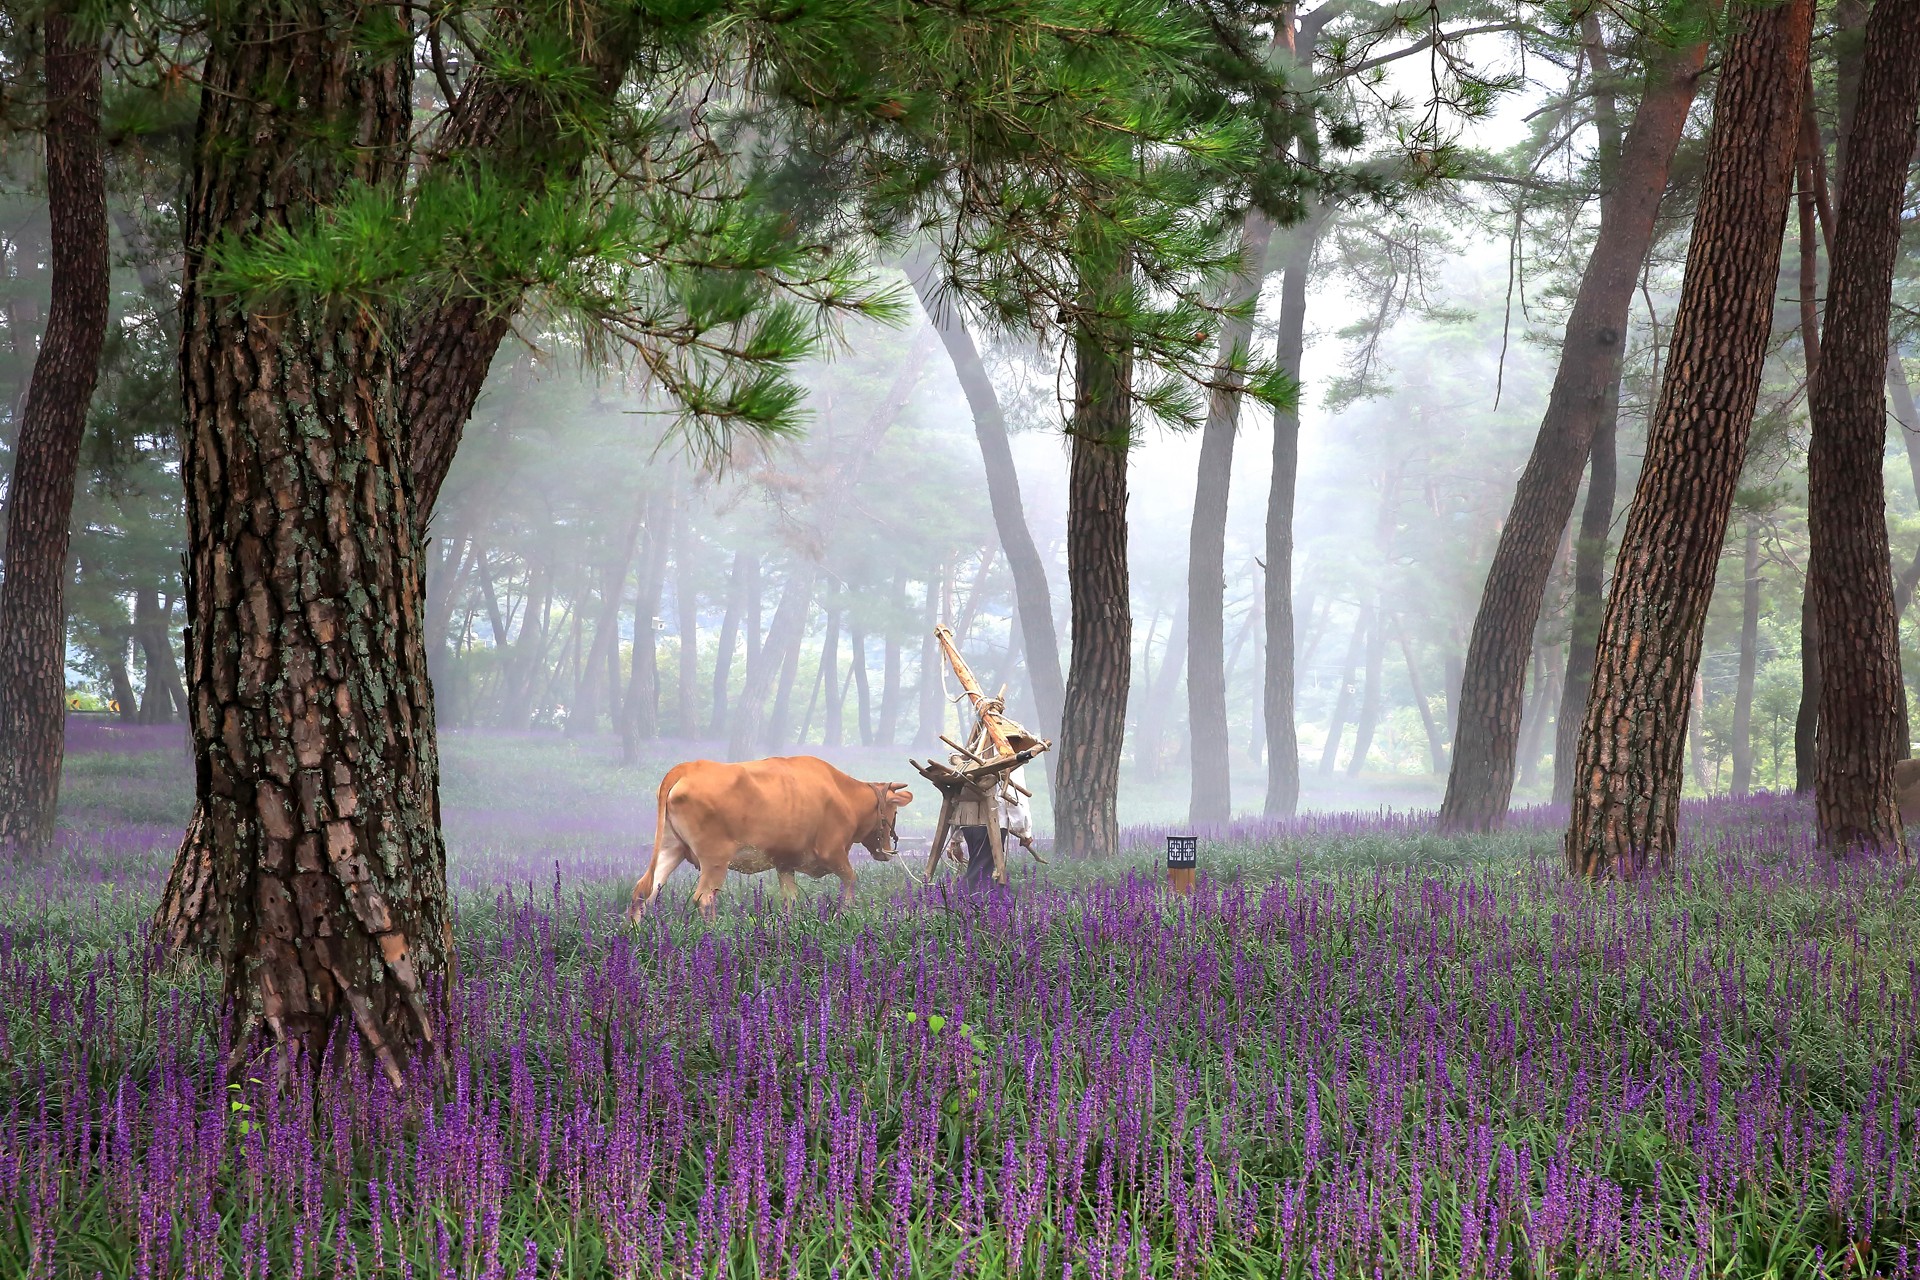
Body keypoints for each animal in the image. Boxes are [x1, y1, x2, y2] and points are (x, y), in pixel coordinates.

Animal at [626, 756, 914, 921]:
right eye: (894, 812)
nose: (887, 850)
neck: (843, 794)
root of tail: (687, 768)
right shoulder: (833, 852)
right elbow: (851, 880)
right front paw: (844, 916)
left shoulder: (785, 863)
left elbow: (791, 899)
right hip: (714, 859)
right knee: (704, 899)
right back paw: (716, 935)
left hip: (671, 848)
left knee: (644, 892)